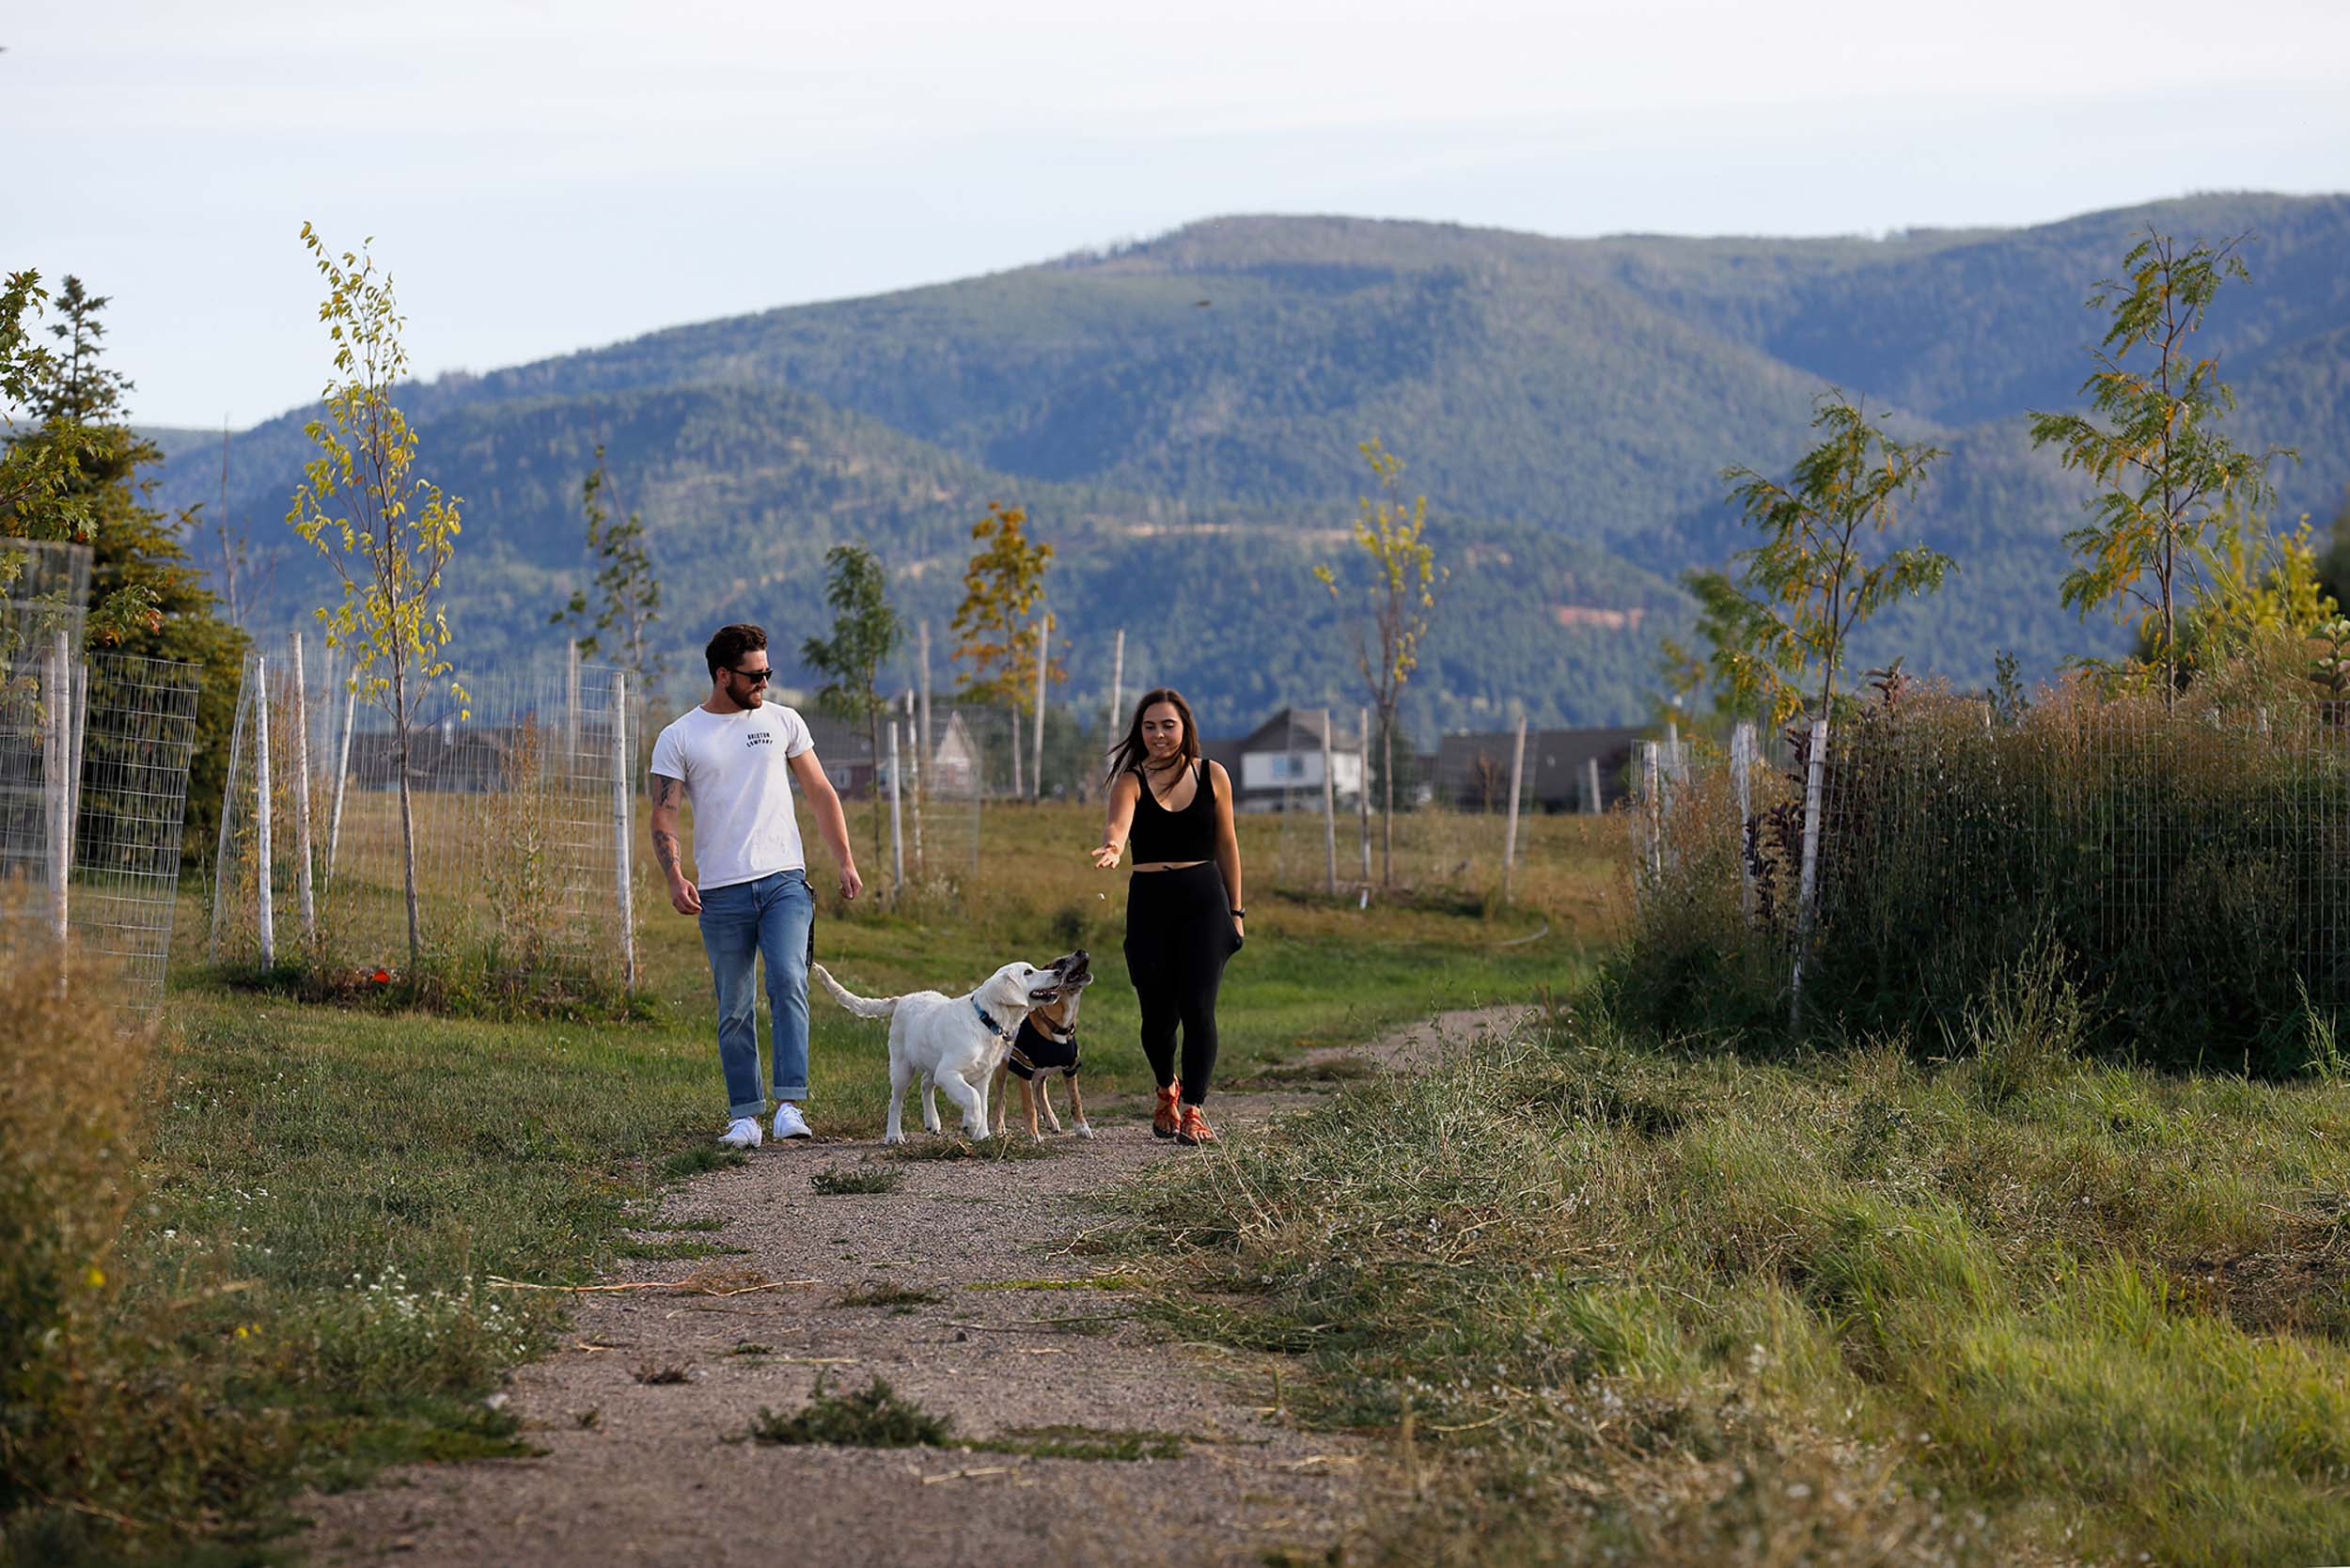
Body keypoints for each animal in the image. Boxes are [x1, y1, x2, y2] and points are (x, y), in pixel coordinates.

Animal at [808, 959, 1067, 1142]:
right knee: (896, 1101)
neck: (985, 1020)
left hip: (931, 1062)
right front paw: (971, 1125)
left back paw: (932, 1122)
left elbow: (982, 1103)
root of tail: (901, 1000)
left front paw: (981, 1134)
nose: (1058, 972)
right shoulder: (949, 1072)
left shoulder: (982, 1076)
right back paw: (894, 1136)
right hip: (902, 1067)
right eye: (1028, 973)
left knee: (925, 1084)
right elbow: (972, 1098)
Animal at [992, 945, 1100, 1142]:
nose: (1081, 951)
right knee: (1000, 1100)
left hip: (1043, 1071)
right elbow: (1029, 1106)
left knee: (1040, 1088)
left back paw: (1051, 1119)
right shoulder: (1024, 1068)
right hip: (1002, 1068)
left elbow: (1076, 1100)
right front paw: (1033, 1134)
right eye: (1060, 962)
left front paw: (1082, 1127)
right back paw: (999, 1128)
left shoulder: (1071, 1068)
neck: (1058, 1025)